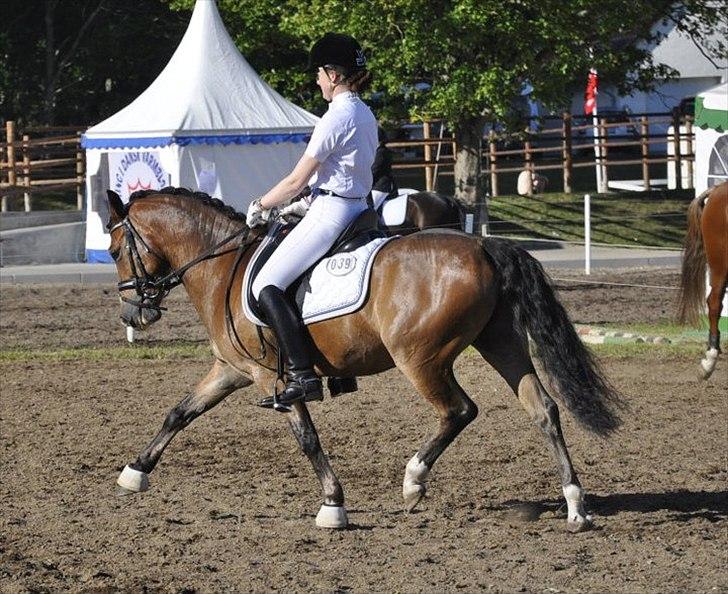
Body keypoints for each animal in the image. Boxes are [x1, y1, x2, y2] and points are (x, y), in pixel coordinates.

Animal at [105, 186, 623, 532]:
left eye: (113, 250)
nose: (134, 313)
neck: (222, 266)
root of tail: (482, 244)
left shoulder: (272, 379)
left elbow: (307, 438)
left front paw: (333, 506)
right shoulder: (234, 369)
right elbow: (180, 413)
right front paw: (135, 472)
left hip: (420, 358)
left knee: (458, 410)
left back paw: (414, 480)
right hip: (501, 344)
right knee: (544, 409)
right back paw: (575, 505)